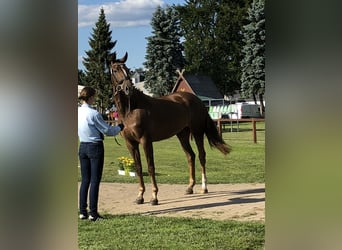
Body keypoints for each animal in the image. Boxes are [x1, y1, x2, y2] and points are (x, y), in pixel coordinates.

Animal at [111, 52, 231, 205]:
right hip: (182, 135)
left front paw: (154, 197)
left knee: (201, 156)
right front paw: (140, 196)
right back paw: (190, 187)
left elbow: (150, 167)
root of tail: (197, 100)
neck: (130, 110)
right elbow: (138, 168)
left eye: (127, 69)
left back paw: (204, 188)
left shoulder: (145, 141)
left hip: (197, 132)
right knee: (190, 156)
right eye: (115, 70)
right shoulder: (130, 143)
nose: (128, 88)